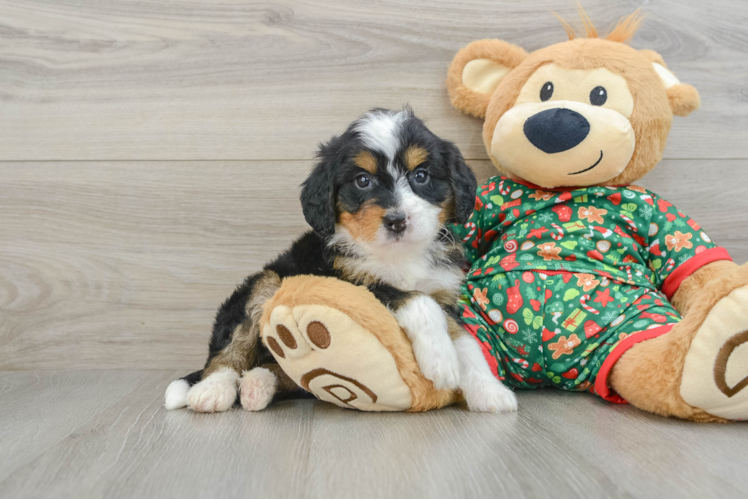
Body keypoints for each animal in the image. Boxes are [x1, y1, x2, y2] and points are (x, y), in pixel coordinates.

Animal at [164, 108, 516, 414]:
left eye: (421, 175)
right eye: (362, 181)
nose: (397, 220)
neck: (398, 254)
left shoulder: (444, 292)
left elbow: (466, 342)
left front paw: (489, 391)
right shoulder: (349, 283)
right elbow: (418, 301)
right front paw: (441, 361)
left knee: (283, 371)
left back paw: (257, 385)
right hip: (265, 282)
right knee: (227, 351)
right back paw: (212, 390)